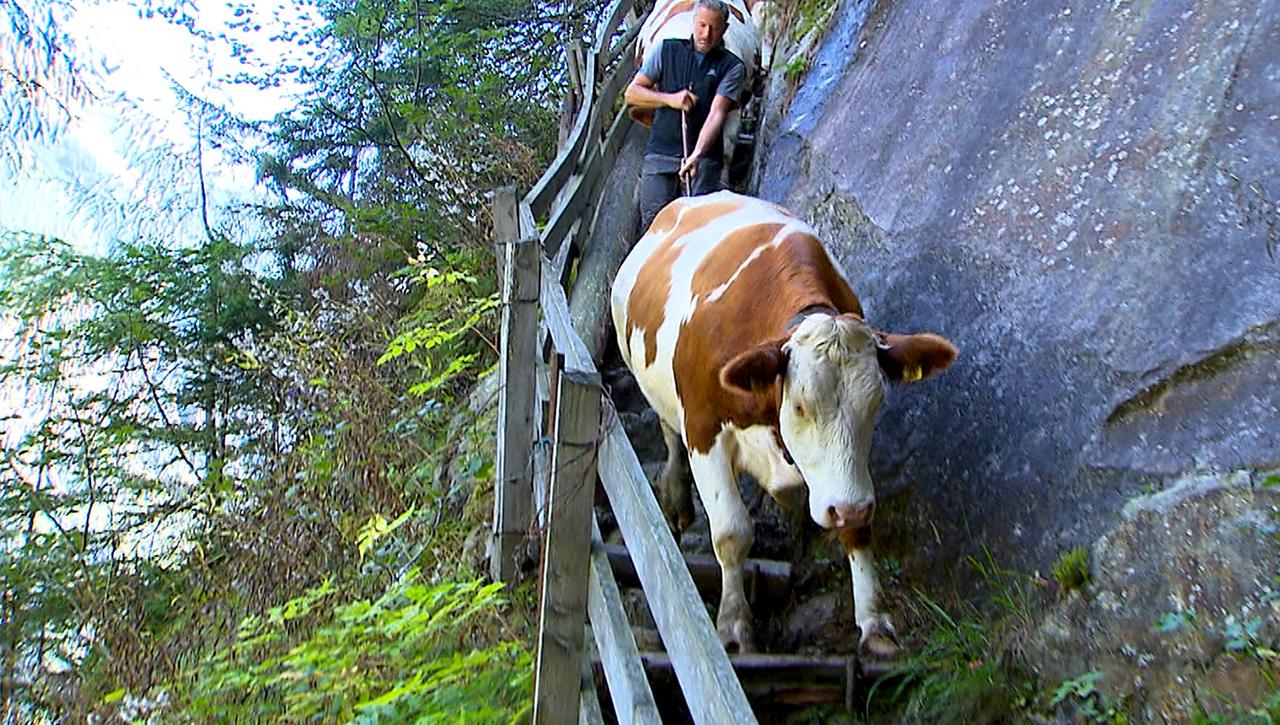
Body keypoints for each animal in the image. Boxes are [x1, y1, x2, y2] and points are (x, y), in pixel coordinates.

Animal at [610, 191, 957, 655]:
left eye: (876, 402)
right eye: (800, 406)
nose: (848, 507)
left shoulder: (845, 473)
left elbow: (857, 530)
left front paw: (874, 623)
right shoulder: (703, 428)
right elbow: (731, 532)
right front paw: (734, 625)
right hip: (646, 377)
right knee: (669, 435)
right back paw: (678, 498)